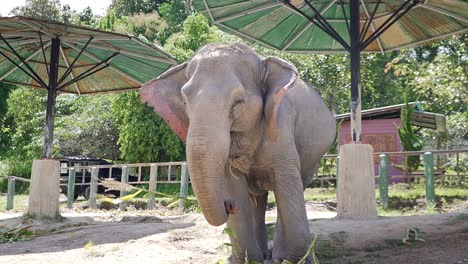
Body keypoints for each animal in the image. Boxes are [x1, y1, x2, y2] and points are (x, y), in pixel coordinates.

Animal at [140, 42, 336, 262]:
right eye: (184, 100)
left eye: (239, 101)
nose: (228, 205)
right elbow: (235, 186)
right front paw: (250, 260)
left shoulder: (281, 127)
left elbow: (287, 184)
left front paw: (295, 261)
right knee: (258, 198)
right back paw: (263, 254)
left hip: (312, 160)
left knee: (292, 188)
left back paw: (277, 255)